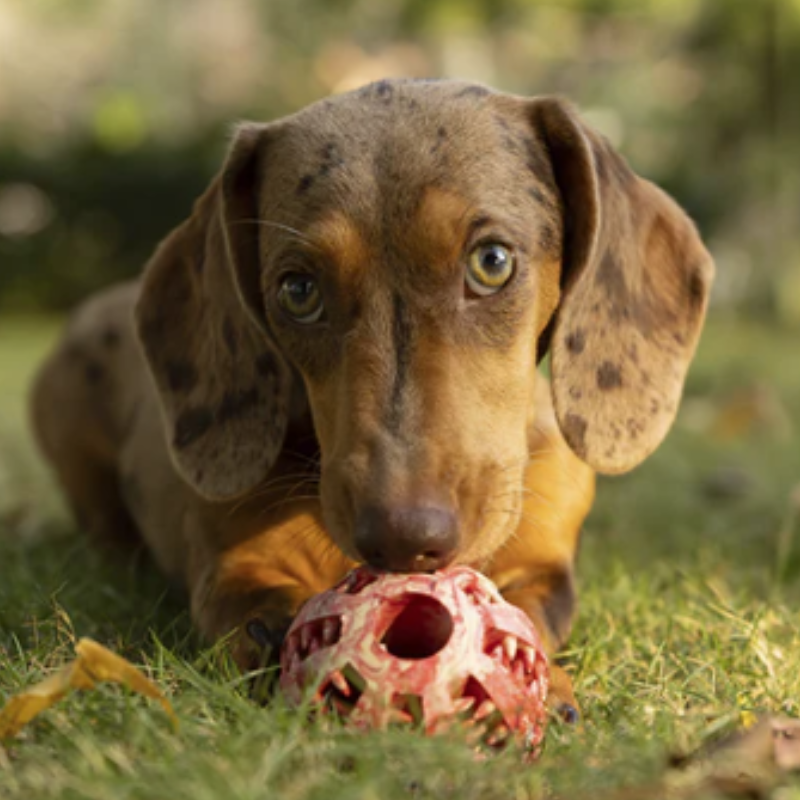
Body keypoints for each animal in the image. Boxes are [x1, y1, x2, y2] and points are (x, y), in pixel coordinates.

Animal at [28, 78, 712, 712]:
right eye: (298, 289)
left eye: (491, 261)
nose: (403, 540)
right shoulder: (231, 566)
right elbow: (250, 608)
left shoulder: (544, 560)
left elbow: (527, 610)